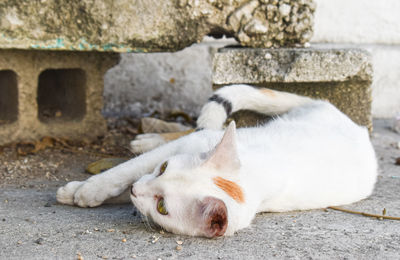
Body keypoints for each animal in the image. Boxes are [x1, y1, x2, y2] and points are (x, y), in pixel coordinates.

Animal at [57, 85, 378, 238]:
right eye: (164, 168)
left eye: (162, 207)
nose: (137, 191)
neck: (252, 178)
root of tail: (357, 126)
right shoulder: (185, 147)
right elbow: (127, 169)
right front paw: (87, 189)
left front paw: (89, 191)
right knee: (199, 129)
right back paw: (147, 139)